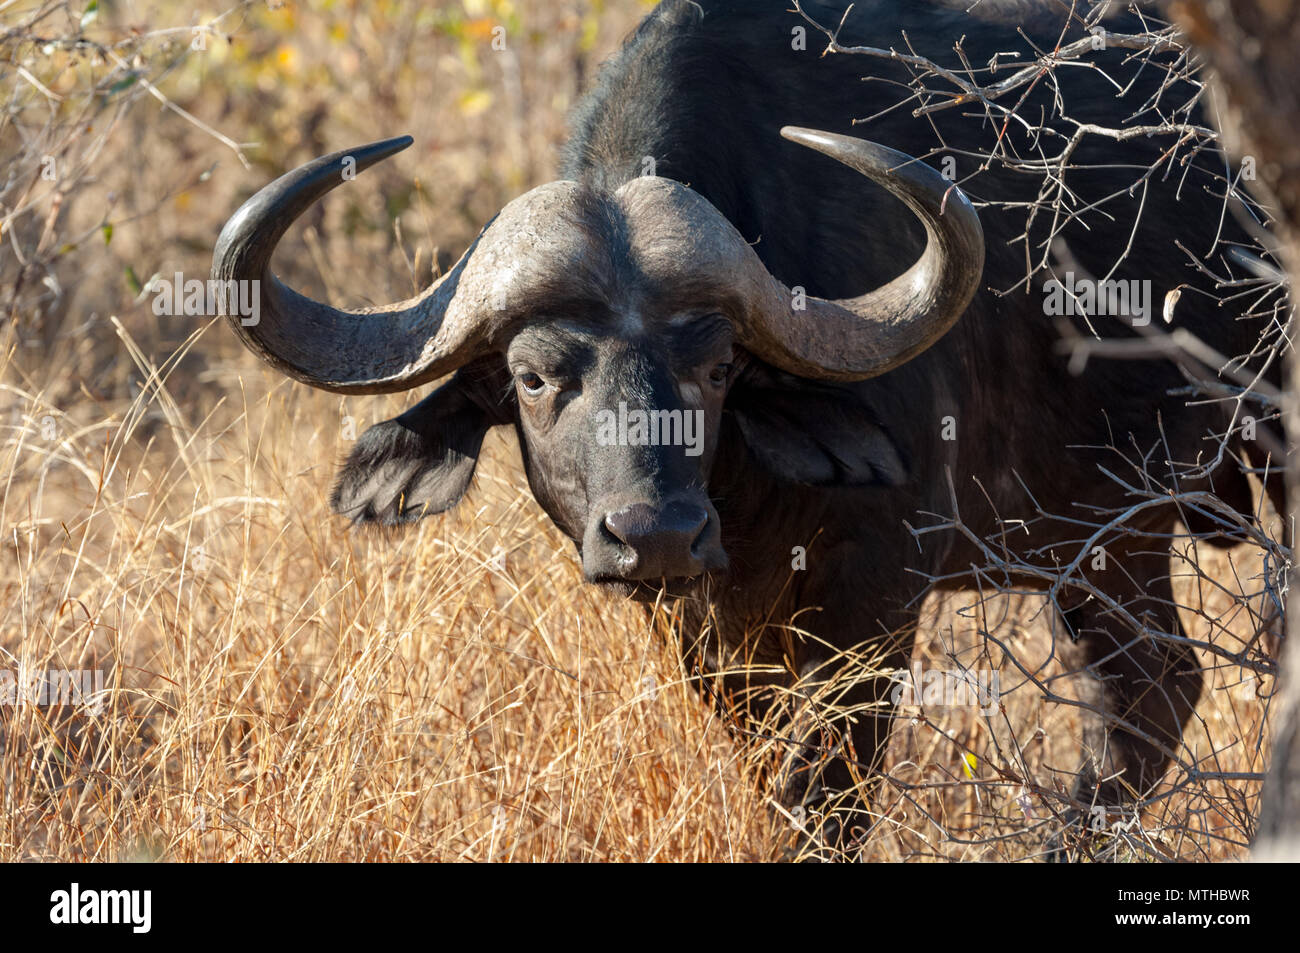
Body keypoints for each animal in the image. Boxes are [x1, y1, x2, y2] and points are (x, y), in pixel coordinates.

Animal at [210, 0, 1279, 858]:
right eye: (532, 376)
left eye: (719, 367)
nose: (656, 536)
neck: (741, 496)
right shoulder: (708, 632)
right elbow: (770, 775)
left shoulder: (878, 591)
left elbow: (826, 796)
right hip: (1100, 539)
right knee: (1149, 686)